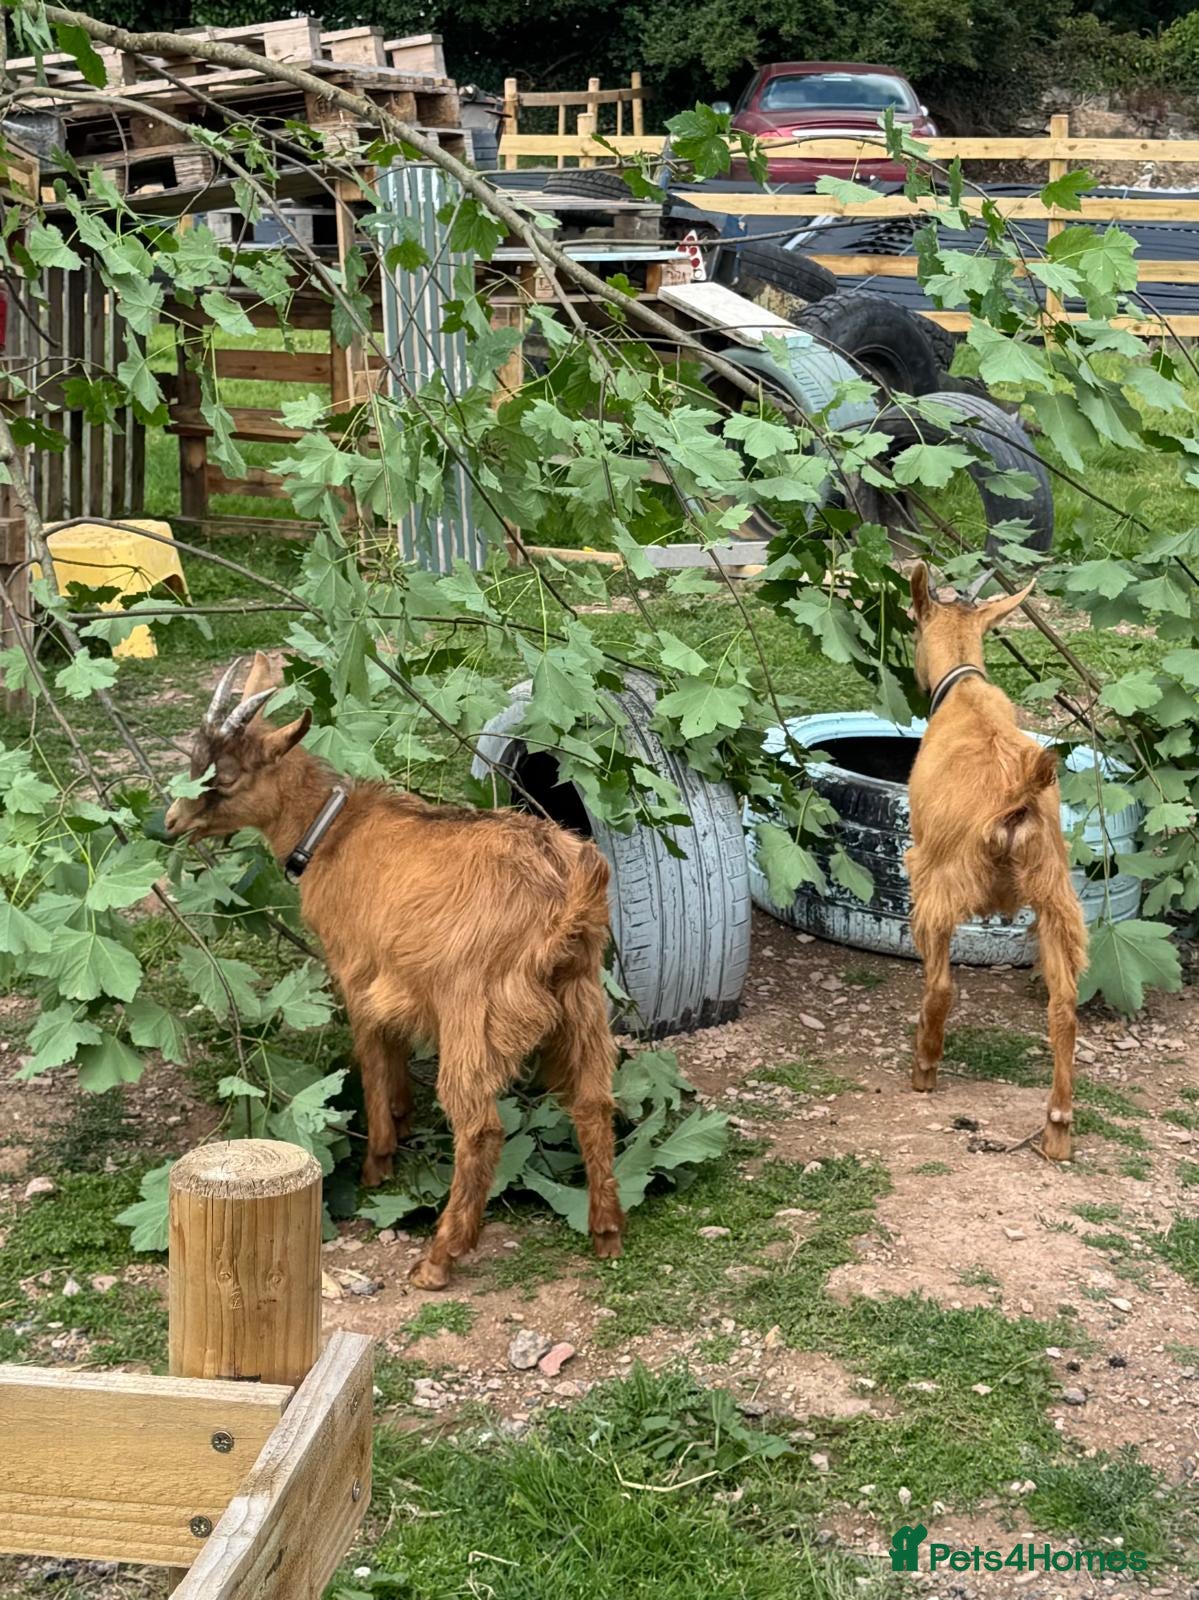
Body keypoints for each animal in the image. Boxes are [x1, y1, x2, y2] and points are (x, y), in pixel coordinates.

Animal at [164, 652, 624, 1287]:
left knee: (480, 1127)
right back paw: (606, 1232)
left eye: (227, 777)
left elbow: (372, 1055)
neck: (332, 831)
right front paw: (404, 1121)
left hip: (474, 1010)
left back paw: (439, 1257)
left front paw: (377, 1161)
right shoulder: (398, 981)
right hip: (581, 998)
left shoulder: (356, 972)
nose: (169, 823)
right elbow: (397, 1051)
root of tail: (570, 891)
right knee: (593, 1103)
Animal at [905, 564, 1088, 1160]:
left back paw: (924, 1067)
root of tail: (1018, 796)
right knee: (1064, 1004)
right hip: (1056, 894)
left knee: (941, 985)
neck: (966, 691)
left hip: (938, 880)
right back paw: (1057, 1128)